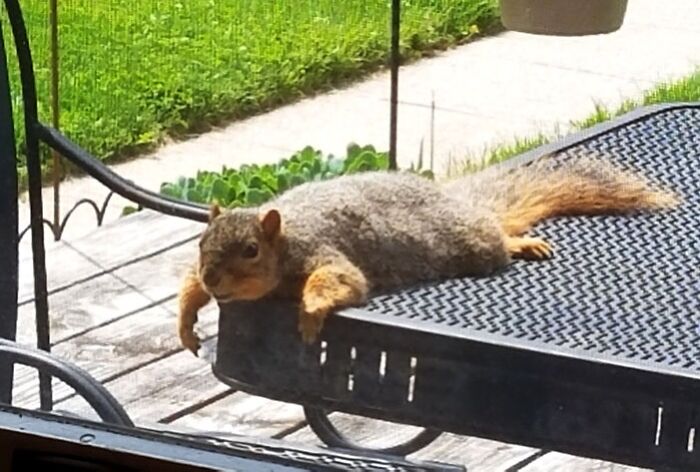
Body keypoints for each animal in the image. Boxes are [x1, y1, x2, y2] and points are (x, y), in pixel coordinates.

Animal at [177, 154, 680, 354]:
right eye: (201, 243)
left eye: (250, 251)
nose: (214, 278)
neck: (284, 243)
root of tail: (452, 199)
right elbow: (186, 287)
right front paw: (186, 318)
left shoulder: (321, 251)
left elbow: (340, 280)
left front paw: (310, 313)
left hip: (471, 241)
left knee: (495, 236)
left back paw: (518, 242)